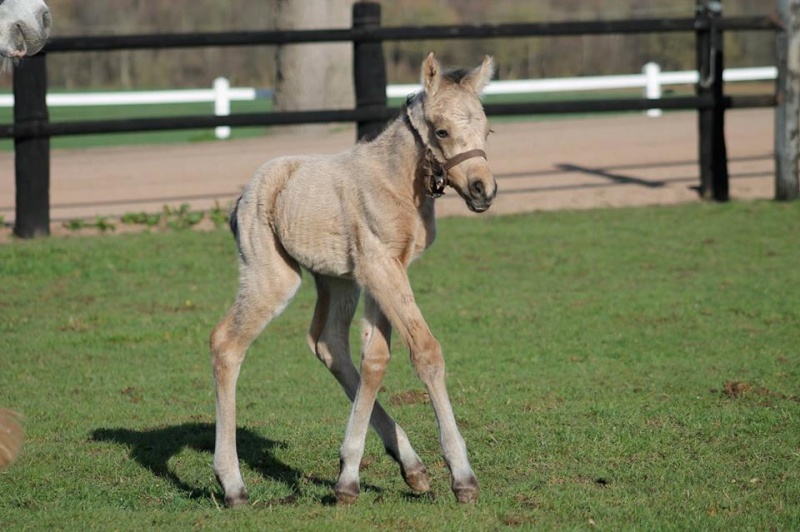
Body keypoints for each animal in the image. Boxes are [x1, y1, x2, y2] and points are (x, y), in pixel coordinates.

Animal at [216, 53, 496, 508]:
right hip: (271, 277)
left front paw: (353, 475)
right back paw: (233, 485)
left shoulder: (386, 269)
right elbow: (425, 352)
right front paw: (462, 476)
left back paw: (409, 466)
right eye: (441, 131)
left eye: (487, 130)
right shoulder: (380, 266)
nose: (482, 190)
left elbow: (376, 360)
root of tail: (242, 196)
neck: (396, 182)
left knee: (327, 343)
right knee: (226, 344)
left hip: (335, 280)